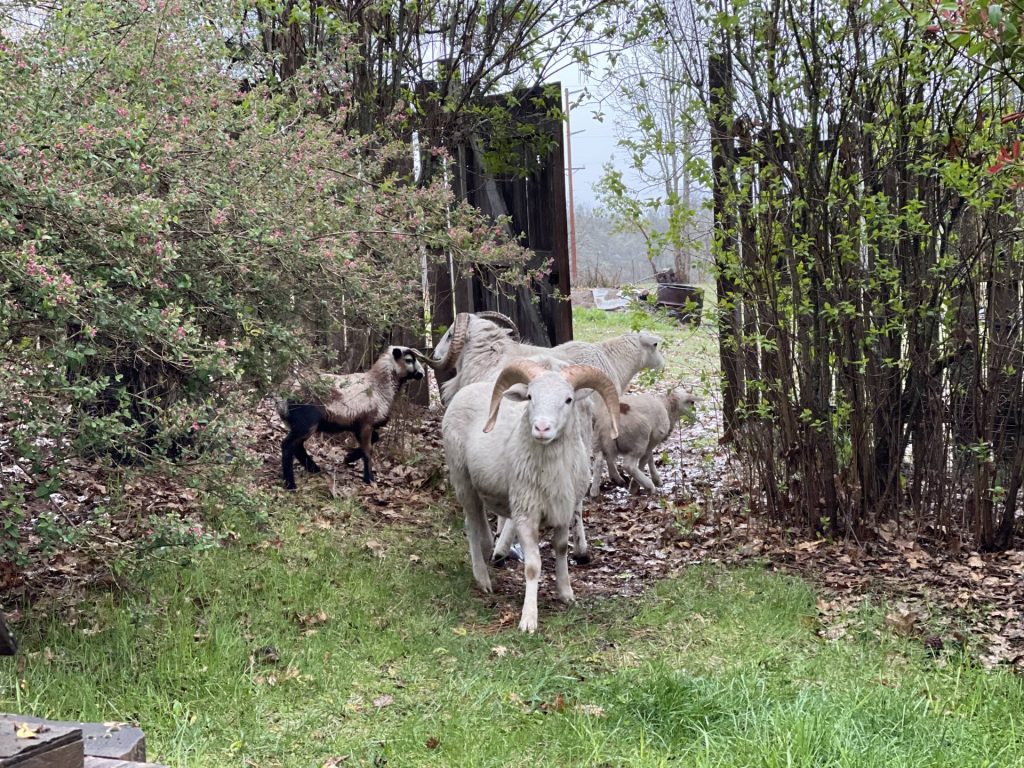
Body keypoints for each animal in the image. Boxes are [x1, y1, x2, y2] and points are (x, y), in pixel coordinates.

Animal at [277, 346, 424, 489]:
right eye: (409, 360)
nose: (422, 374)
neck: (379, 387)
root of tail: (285, 394)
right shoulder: (366, 423)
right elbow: (368, 451)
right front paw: (369, 478)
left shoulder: (359, 425)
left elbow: (375, 439)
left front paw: (348, 458)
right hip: (306, 422)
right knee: (287, 445)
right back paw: (290, 484)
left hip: (302, 424)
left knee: (298, 446)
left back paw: (314, 469)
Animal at [442, 357, 621, 632]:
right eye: (530, 396)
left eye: (568, 399)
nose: (542, 427)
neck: (550, 470)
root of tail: (466, 390)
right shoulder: (526, 515)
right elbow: (533, 566)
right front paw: (529, 618)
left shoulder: (564, 511)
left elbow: (561, 549)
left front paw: (566, 593)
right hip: (461, 477)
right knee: (471, 526)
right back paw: (482, 579)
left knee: (479, 521)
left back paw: (488, 550)